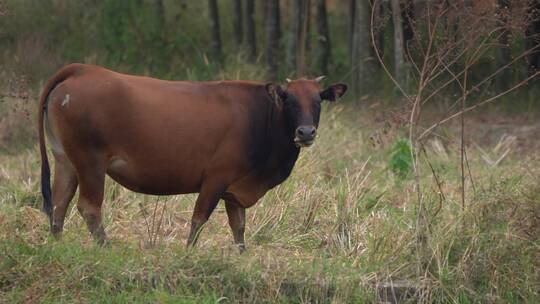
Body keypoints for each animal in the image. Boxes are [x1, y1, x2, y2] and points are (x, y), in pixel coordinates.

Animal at [40, 63, 348, 251]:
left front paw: (242, 256)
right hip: (90, 162)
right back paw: (106, 247)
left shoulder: (235, 189)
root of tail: (81, 70)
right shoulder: (216, 178)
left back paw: (57, 245)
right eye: (289, 101)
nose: (305, 131)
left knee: (59, 203)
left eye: (318, 102)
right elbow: (199, 220)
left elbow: (239, 227)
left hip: (65, 160)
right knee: (89, 207)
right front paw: (189, 253)